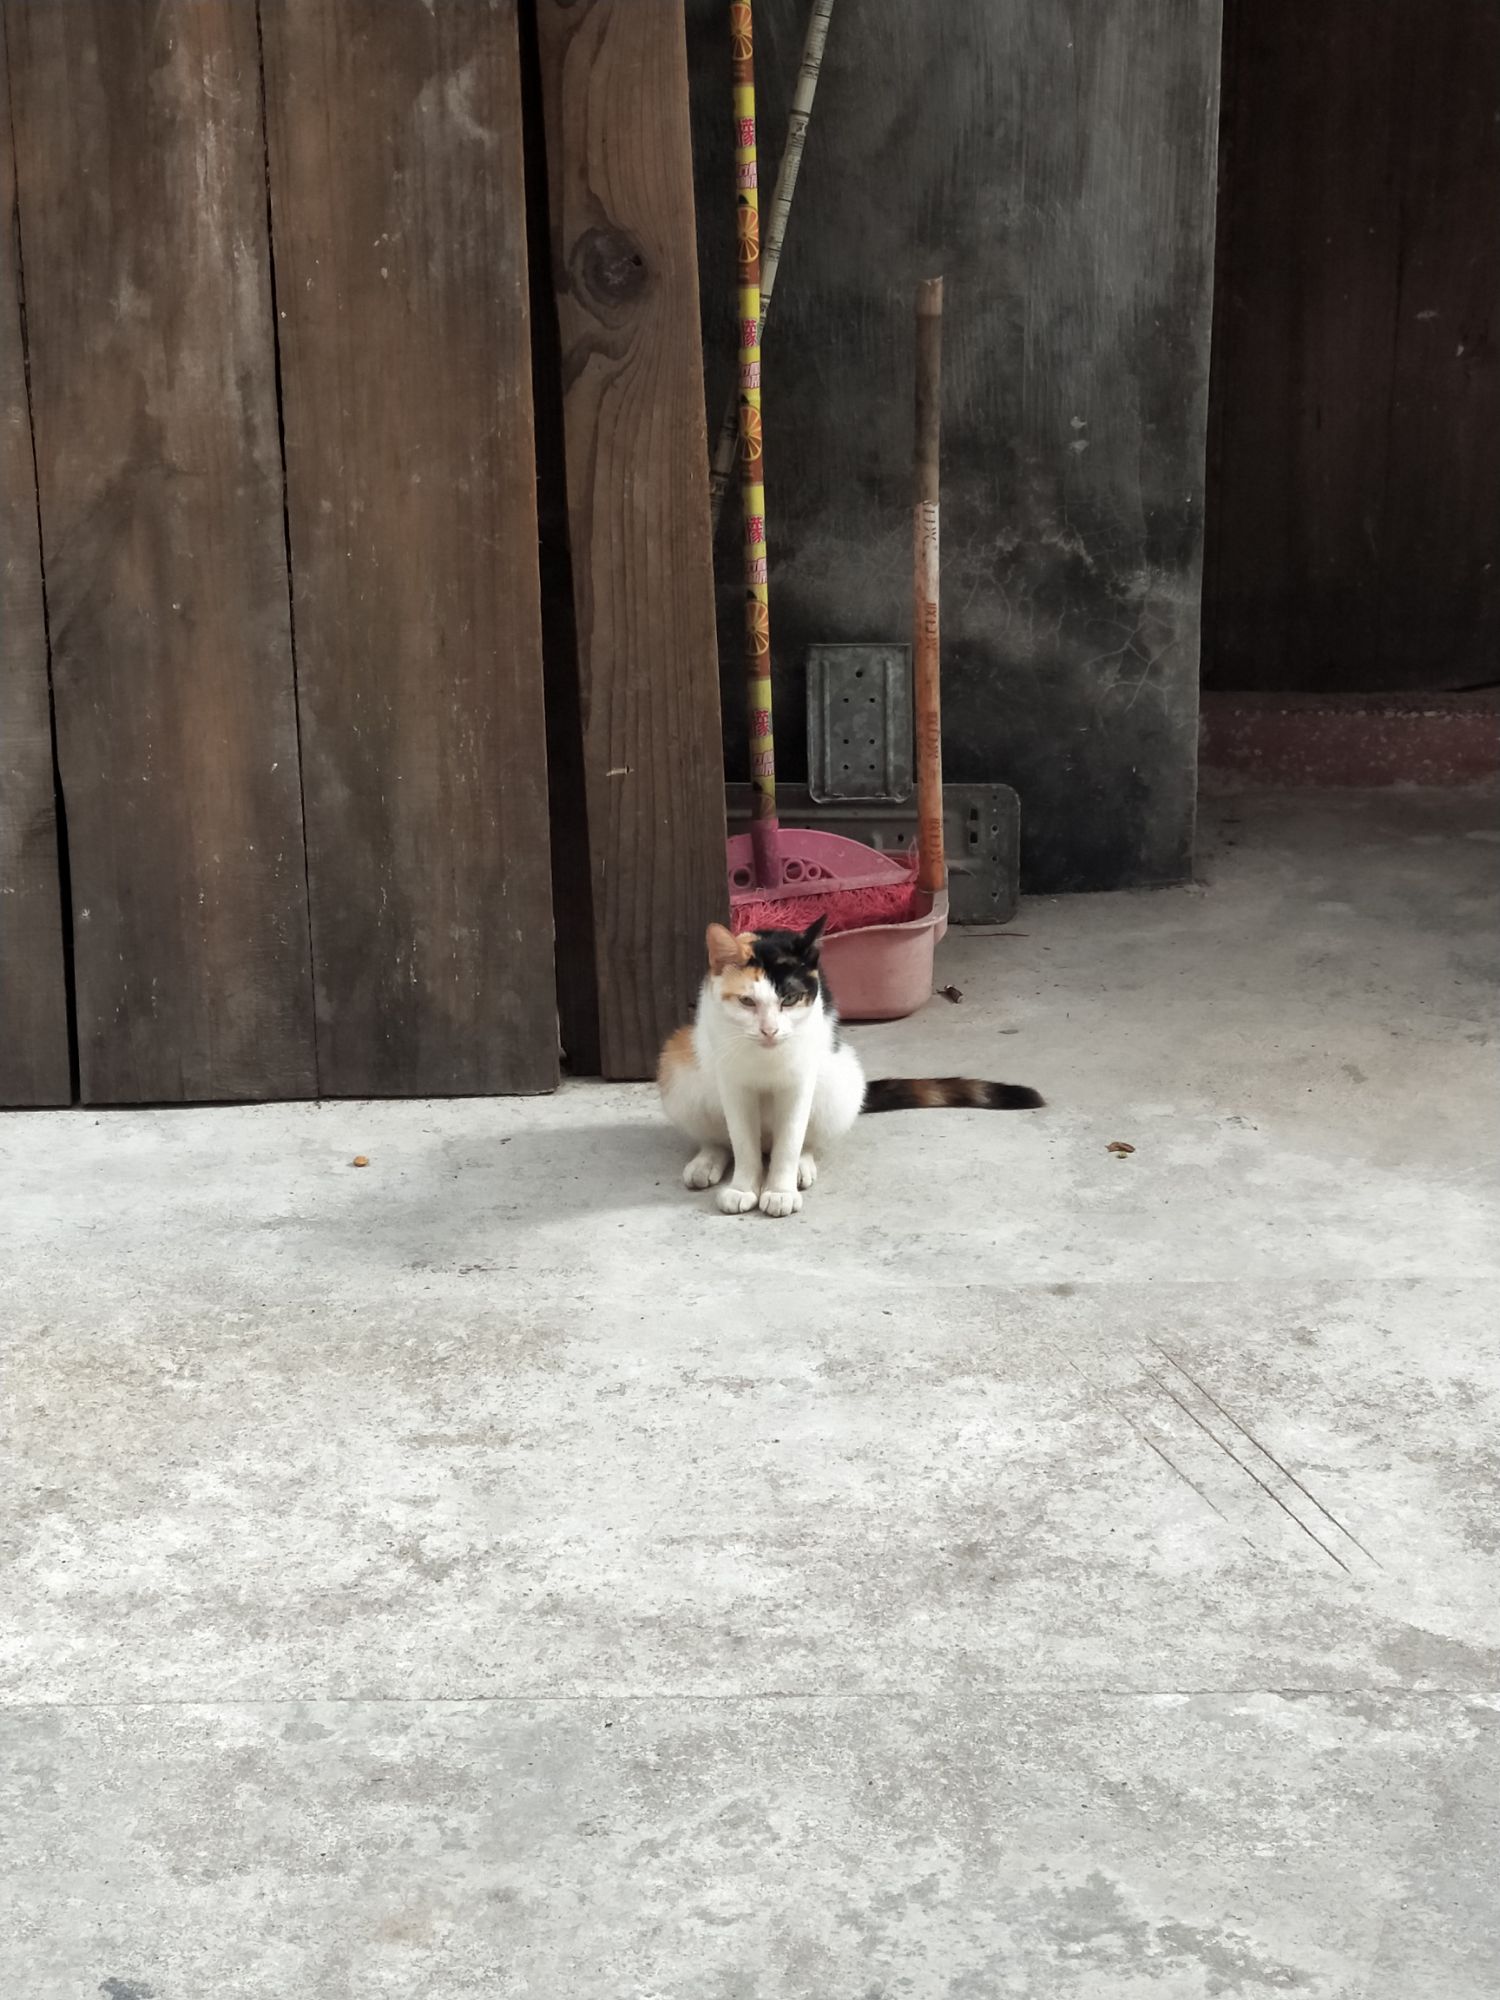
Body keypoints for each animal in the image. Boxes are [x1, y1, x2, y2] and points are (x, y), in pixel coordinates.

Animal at [658, 916, 1043, 1217]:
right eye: (747, 1002)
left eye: (790, 999)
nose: (769, 1030)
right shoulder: (732, 1082)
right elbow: (742, 1141)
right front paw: (743, 1187)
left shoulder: (801, 1079)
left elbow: (791, 1138)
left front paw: (780, 1190)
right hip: (679, 1066)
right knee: (720, 1137)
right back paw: (707, 1161)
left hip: (842, 1079)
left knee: (804, 1137)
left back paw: (801, 1165)